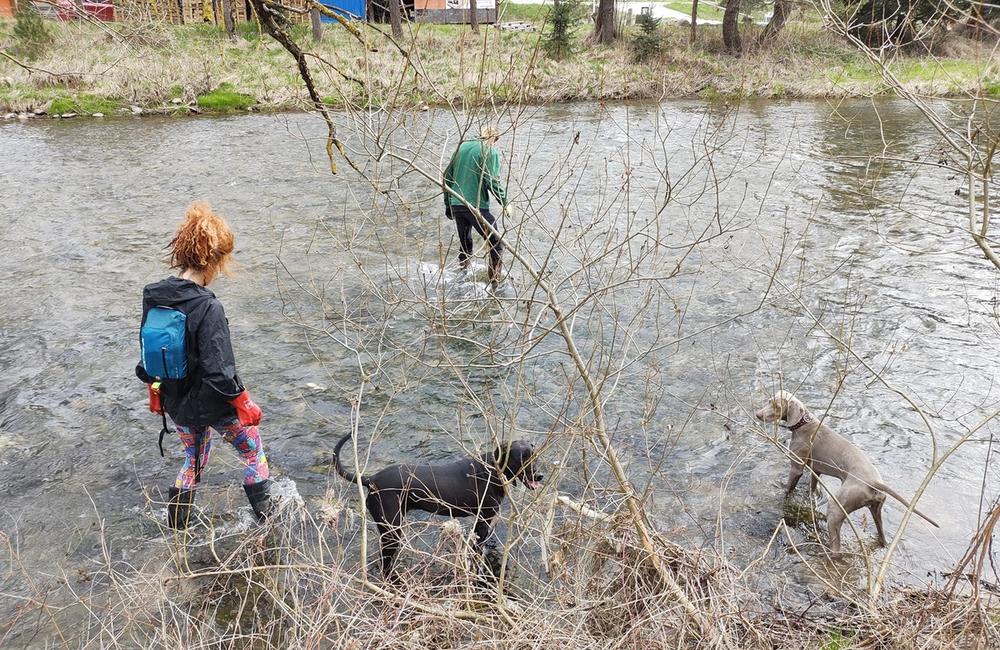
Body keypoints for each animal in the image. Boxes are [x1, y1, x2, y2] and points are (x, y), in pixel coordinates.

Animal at [334, 432, 540, 576]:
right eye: (521, 458)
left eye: (535, 456)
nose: (540, 476)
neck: (493, 470)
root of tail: (372, 479)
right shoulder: (483, 519)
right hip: (391, 530)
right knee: (385, 563)